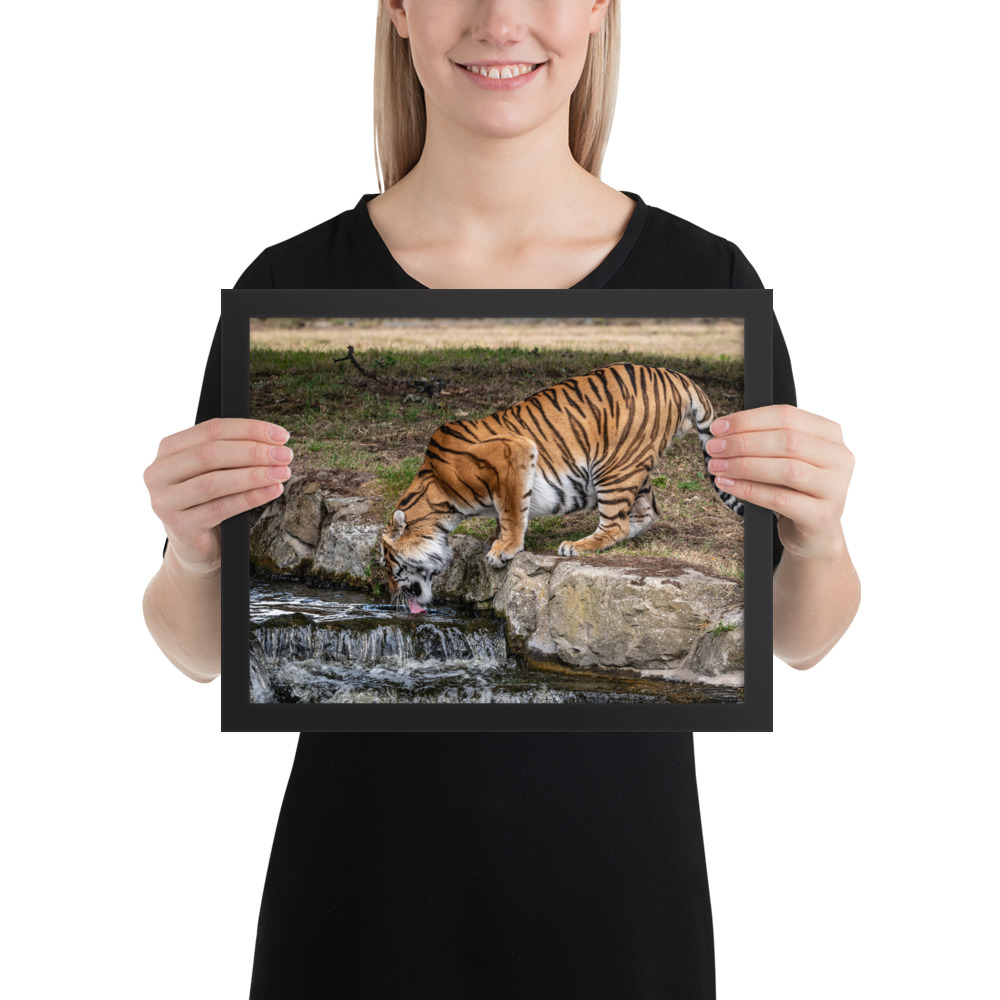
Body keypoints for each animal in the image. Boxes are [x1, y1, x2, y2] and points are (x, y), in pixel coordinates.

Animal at [378, 362, 741, 611]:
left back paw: (577, 546)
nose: (391, 595)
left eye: (388, 565)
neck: (439, 497)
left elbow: (511, 511)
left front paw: (504, 550)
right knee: (647, 512)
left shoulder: (515, 453)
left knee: (617, 522)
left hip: (613, 466)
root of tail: (676, 375)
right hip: (634, 468)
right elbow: (504, 515)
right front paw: (495, 540)